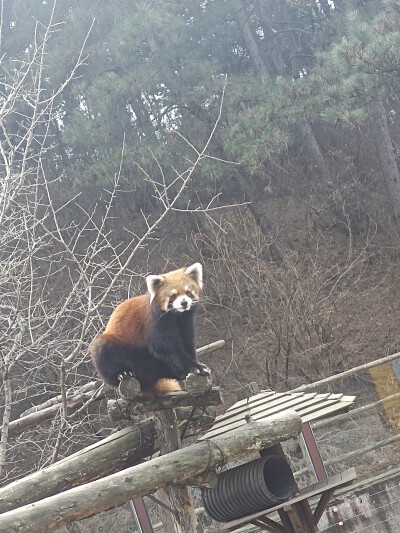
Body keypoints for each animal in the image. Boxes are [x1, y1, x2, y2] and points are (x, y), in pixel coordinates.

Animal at [90, 262, 209, 394]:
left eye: (188, 292)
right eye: (173, 296)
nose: (184, 303)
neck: (177, 317)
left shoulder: (186, 323)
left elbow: (188, 343)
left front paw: (196, 365)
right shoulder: (155, 324)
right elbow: (167, 348)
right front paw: (195, 368)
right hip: (117, 348)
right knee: (103, 352)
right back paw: (123, 373)